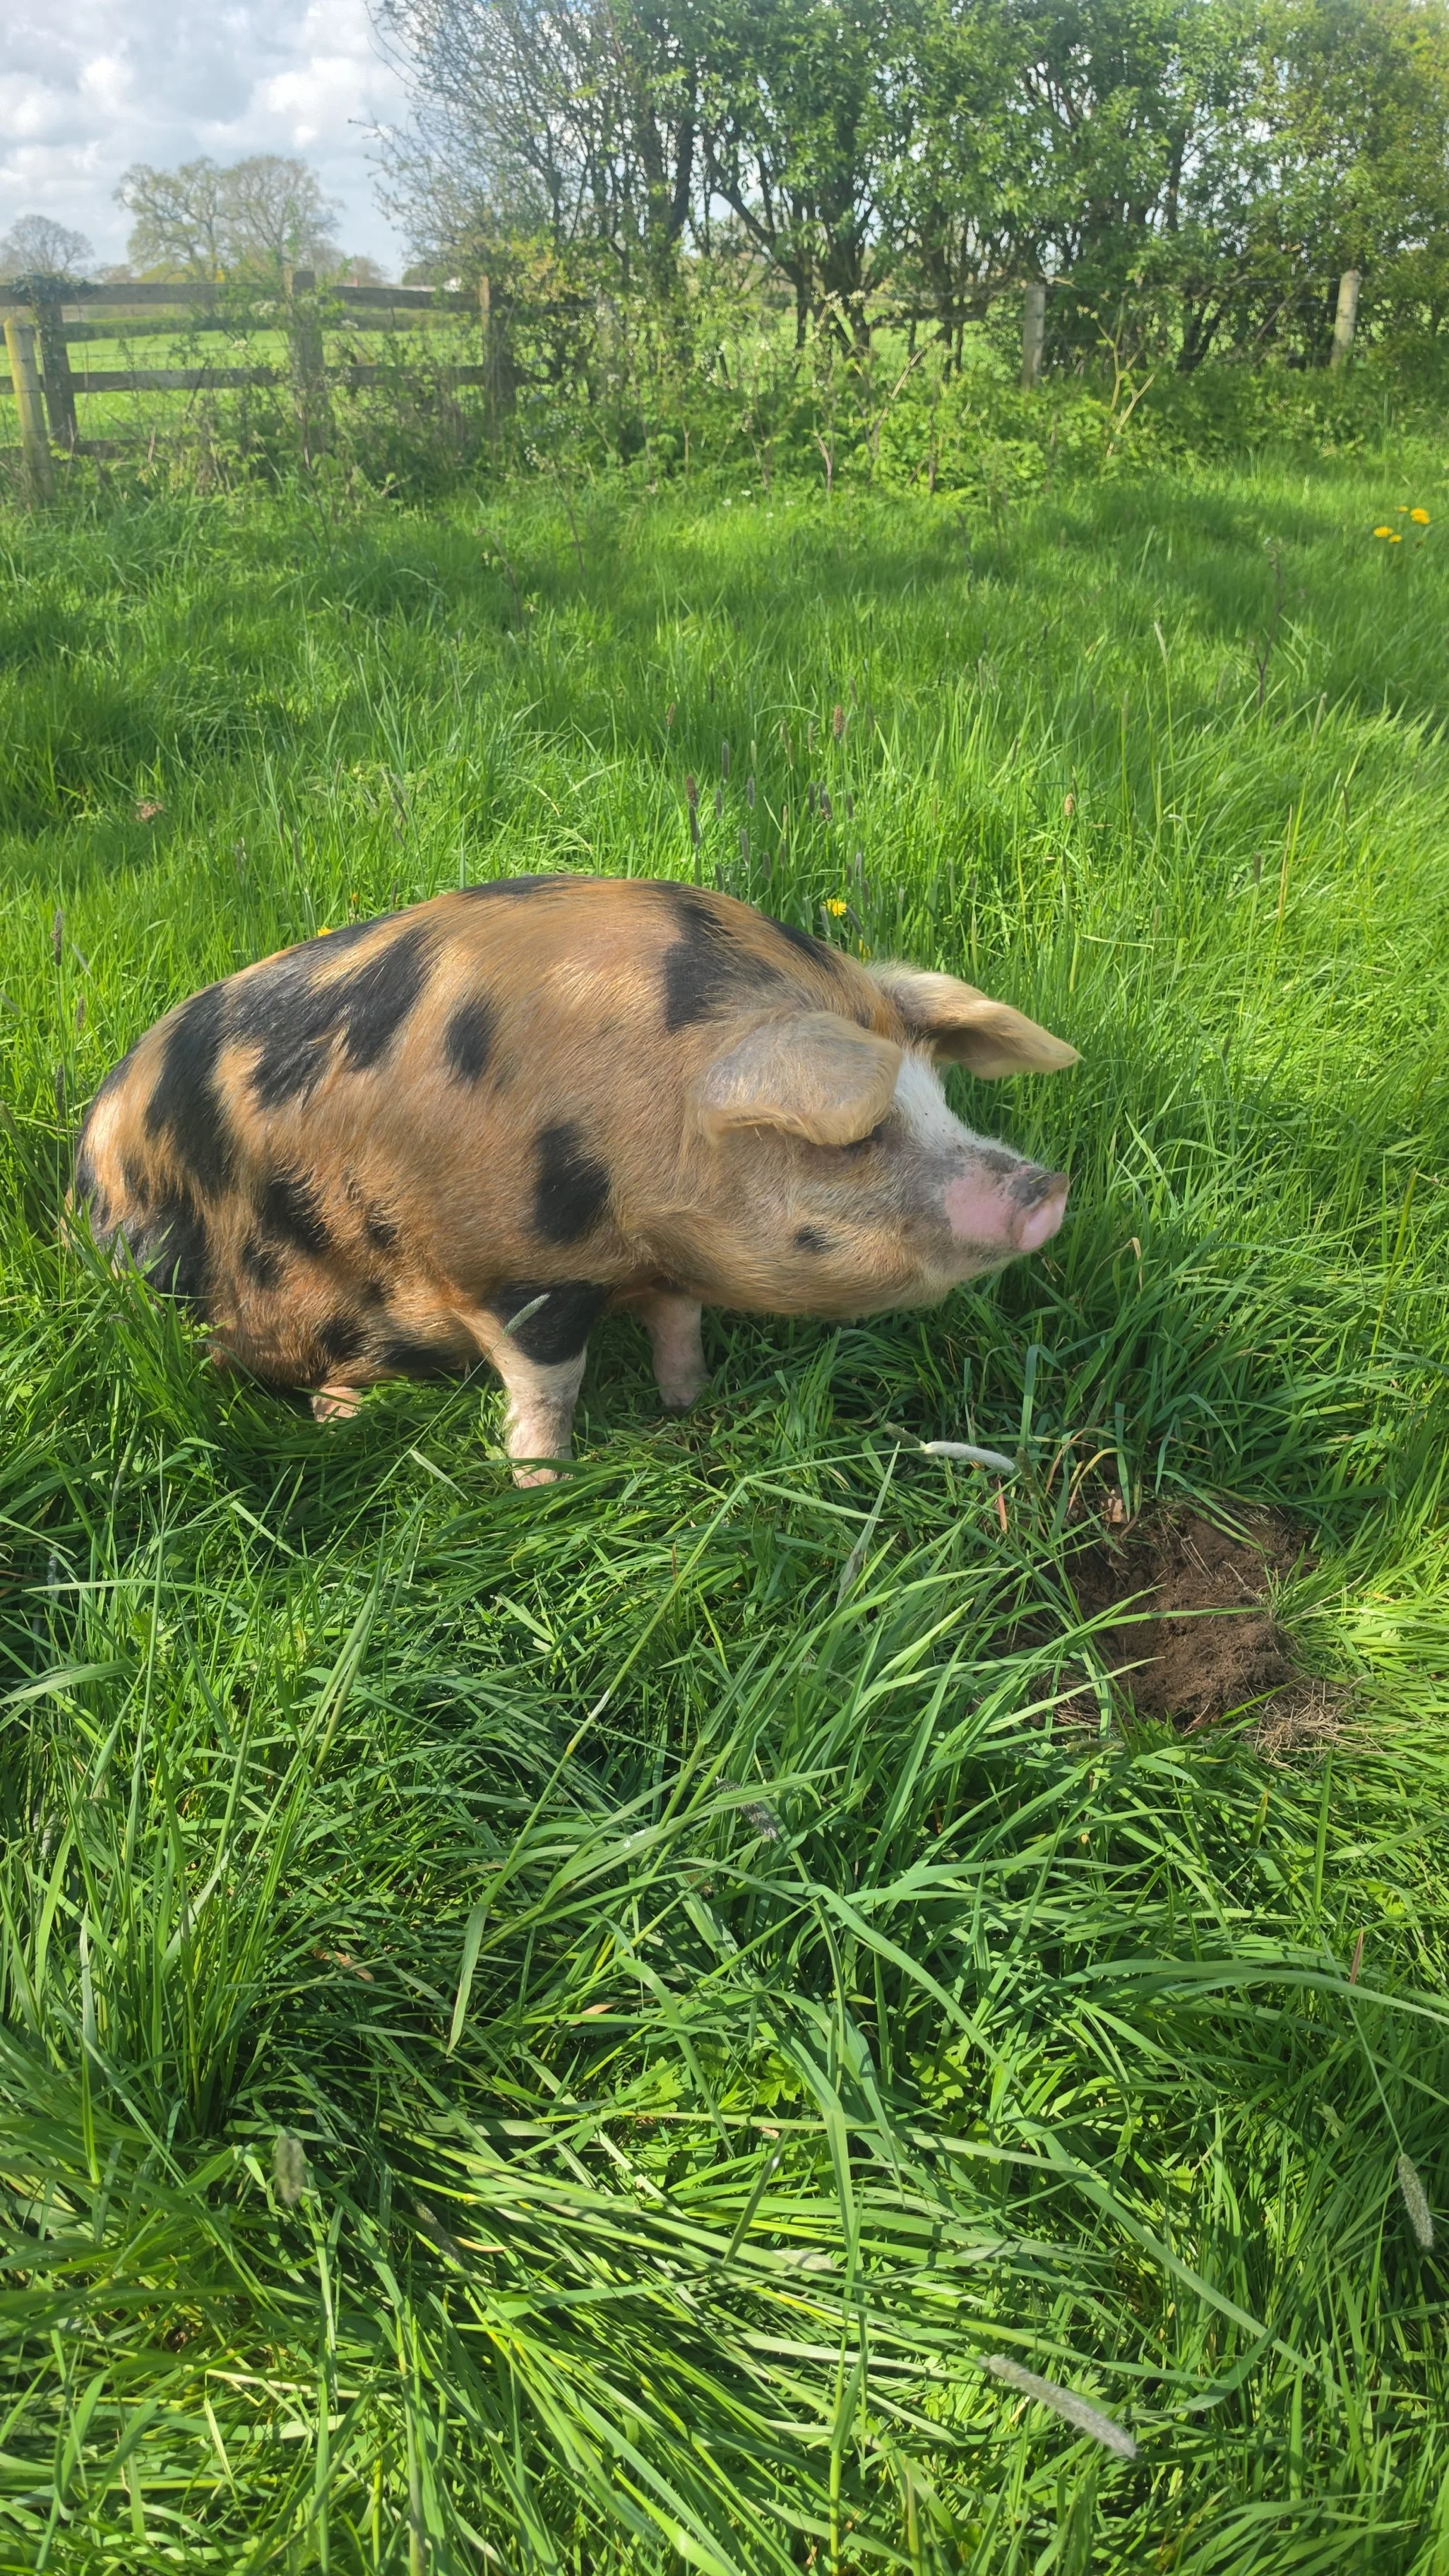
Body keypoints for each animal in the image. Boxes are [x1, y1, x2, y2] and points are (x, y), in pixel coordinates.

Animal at [72, 874, 1077, 1483]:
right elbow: (547, 1381)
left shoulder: (664, 1263)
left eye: (941, 1095)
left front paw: (689, 1402)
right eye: (857, 1136)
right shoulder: (508, 1272)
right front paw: (542, 1483)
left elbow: (679, 1325)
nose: (1048, 1189)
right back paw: (340, 1420)